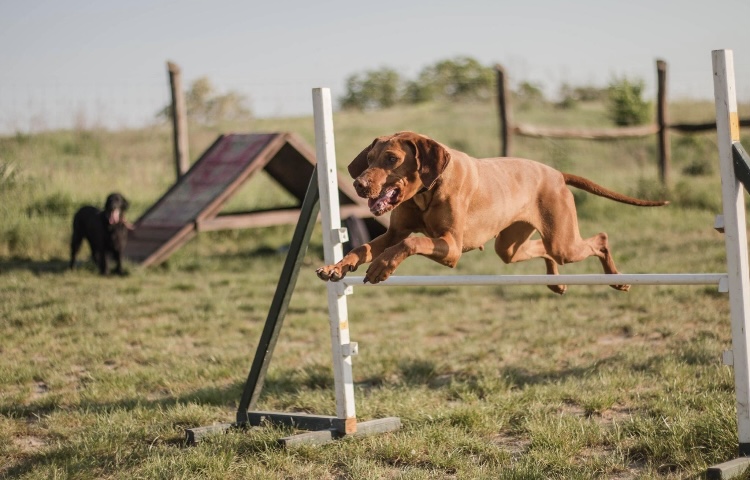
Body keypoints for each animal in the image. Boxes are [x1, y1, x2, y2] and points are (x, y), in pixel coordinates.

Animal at [318, 131, 668, 292]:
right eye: (369, 158)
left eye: (391, 159)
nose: (359, 184)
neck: (427, 191)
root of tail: (556, 173)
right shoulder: (393, 232)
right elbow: (363, 247)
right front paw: (336, 267)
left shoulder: (451, 248)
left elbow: (411, 242)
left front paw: (381, 267)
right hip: (510, 247)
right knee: (540, 249)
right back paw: (556, 282)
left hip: (564, 240)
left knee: (601, 239)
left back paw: (617, 279)